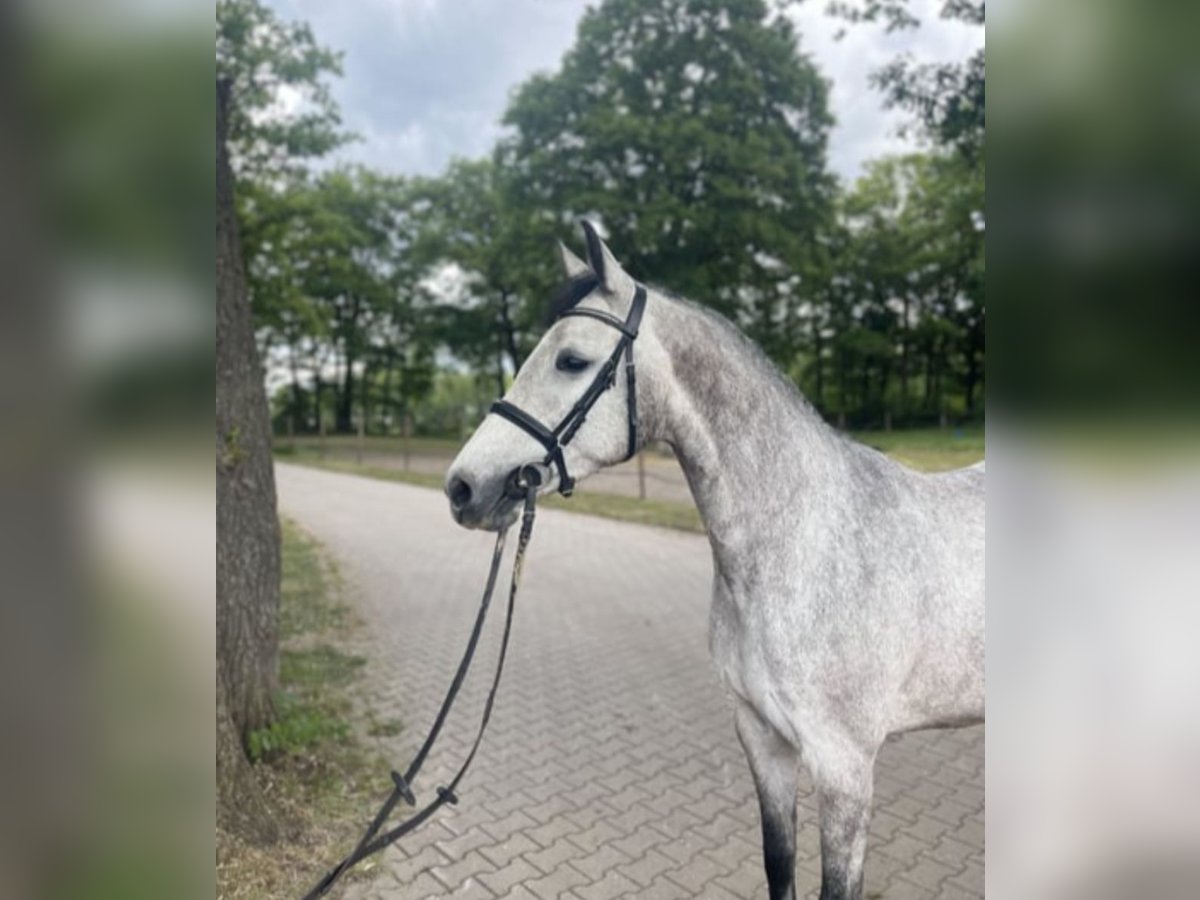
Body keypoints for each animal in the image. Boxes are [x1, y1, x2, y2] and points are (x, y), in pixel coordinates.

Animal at [444, 222, 985, 900]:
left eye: (571, 360)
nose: (463, 487)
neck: (801, 544)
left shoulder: (845, 768)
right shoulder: (762, 740)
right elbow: (778, 864)